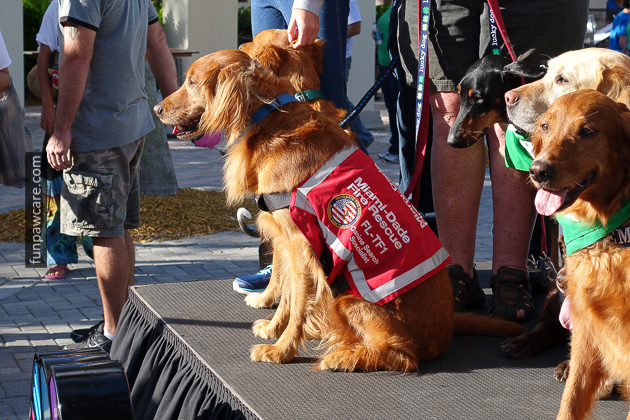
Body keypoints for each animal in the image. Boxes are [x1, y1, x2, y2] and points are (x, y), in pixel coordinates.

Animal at [156, 48, 524, 370]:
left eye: (191, 81)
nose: (157, 109)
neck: (269, 117)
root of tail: (446, 330)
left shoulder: (300, 243)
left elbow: (298, 300)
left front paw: (282, 350)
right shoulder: (287, 241)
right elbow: (287, 292)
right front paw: (275, 329)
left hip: (350, 299)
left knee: (403, 356)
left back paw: (344, 356)